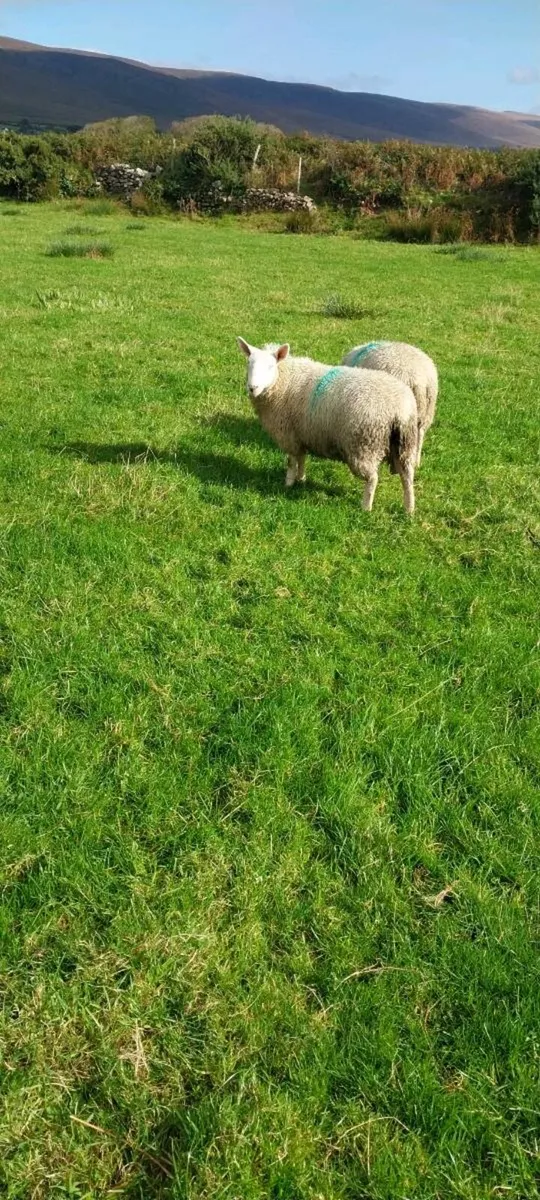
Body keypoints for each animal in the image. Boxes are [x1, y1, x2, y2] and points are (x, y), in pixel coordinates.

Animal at [236, 338, 418, 513]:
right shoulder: (301, 433)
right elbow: (302, 458)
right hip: (404, 445)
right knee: (407, 476)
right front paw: (301, 479)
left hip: (365, 445)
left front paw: (288, 483)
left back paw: (366, 507)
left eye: (270, 366)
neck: (283, 381)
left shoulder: (288, 435)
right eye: (248, 363)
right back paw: (409, 509)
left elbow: (291, 461)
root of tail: (399, 409)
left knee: (373, 479)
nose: (252, 388)